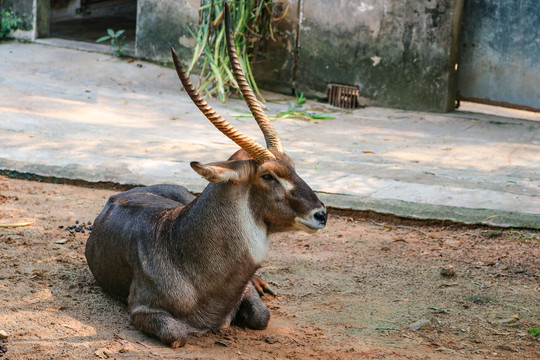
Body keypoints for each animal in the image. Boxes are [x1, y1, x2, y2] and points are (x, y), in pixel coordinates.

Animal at [86, 4, 326, 348]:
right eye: (268, 175)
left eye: (292, 164)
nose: (321, 214)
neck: (177, 243)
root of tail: (117, 195)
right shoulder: (141, 308)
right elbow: (177, 334)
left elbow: (261, 316)